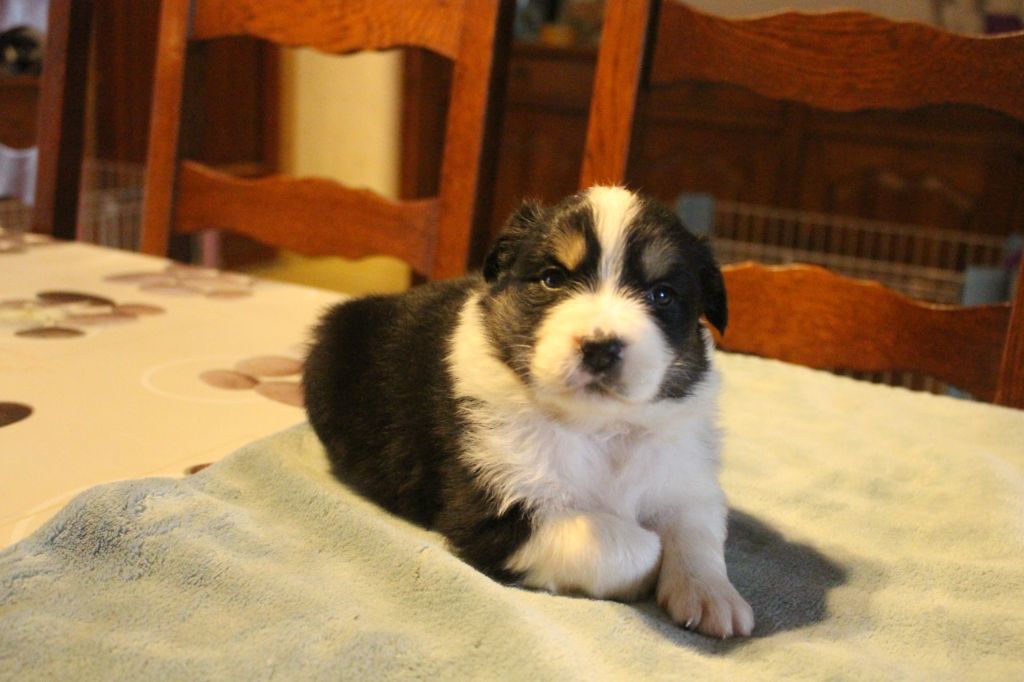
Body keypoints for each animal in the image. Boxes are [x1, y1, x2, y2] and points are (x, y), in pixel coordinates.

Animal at [303, 186, 753, 638]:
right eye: (552, 278)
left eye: (661, 294)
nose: (600, 348)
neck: (597, 426)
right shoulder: (493, 508)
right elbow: (628, 544)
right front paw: (649, 561)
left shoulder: (682, 472)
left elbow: (695, 529)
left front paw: (713, 597)